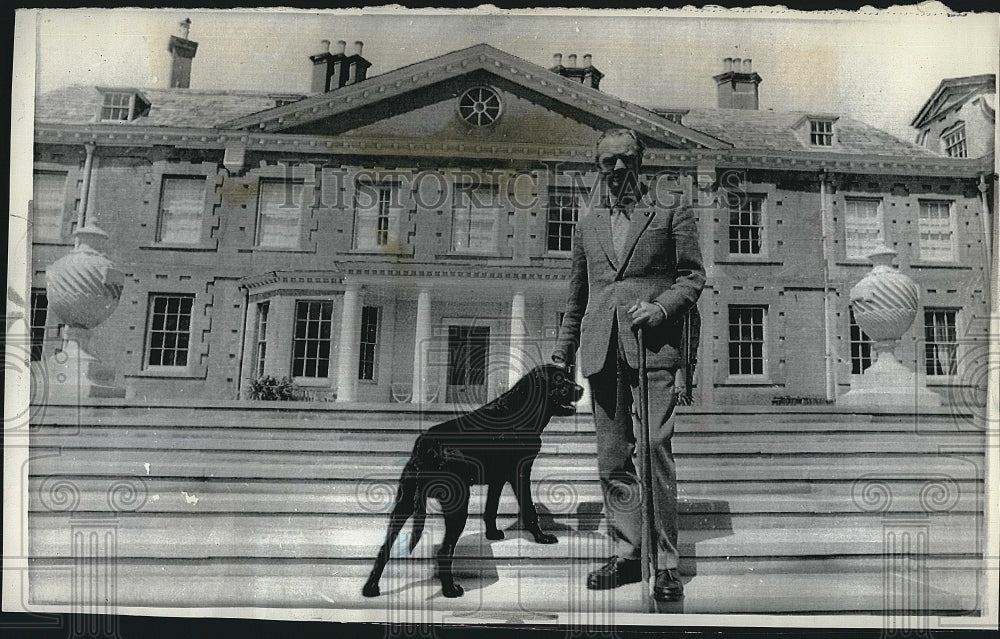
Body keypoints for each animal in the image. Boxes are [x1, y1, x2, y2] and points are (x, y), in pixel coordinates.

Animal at [362, 364, 584, 600]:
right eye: (559, 380)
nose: (581, 389)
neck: (520, 410)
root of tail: (427, 445)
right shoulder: (521, 472)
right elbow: (529, 509)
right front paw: (541, 537)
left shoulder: (498, 478)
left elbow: (491, 509)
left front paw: (492, 534)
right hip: (457, 506)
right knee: (444, 551)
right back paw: (450, 590)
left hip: (404, 505)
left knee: (385, 547)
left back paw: (371, 588)